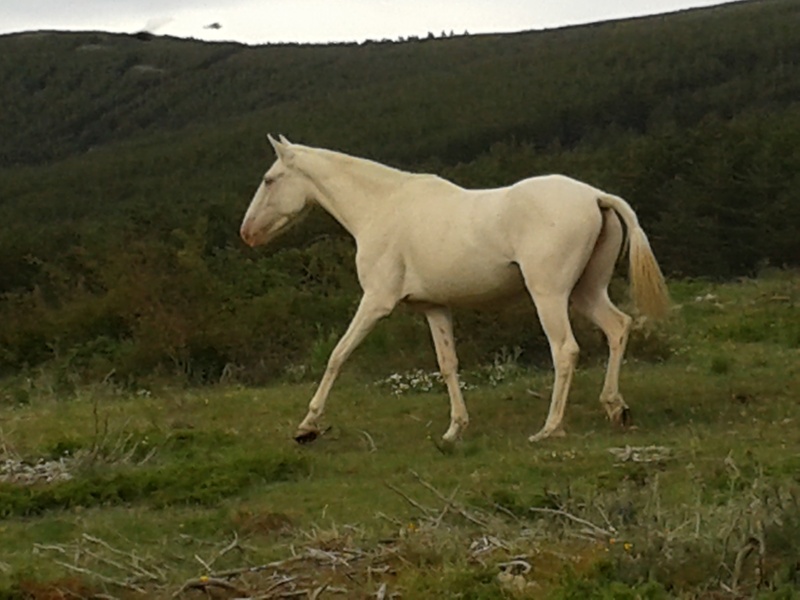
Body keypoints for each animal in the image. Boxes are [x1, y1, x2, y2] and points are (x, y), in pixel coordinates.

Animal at [242, 137, 668, 446]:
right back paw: (615, 408)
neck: (382, 207)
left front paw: (307, 425)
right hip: (586, 291)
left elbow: (337, 355)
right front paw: (455, 428)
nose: (247, 233)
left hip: (549, 295)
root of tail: (596, 196)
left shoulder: (376, 302)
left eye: (269, 179)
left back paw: (549, 428)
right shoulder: (435, 307)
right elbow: (448, 365)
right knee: (618, 327)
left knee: (565, 350)